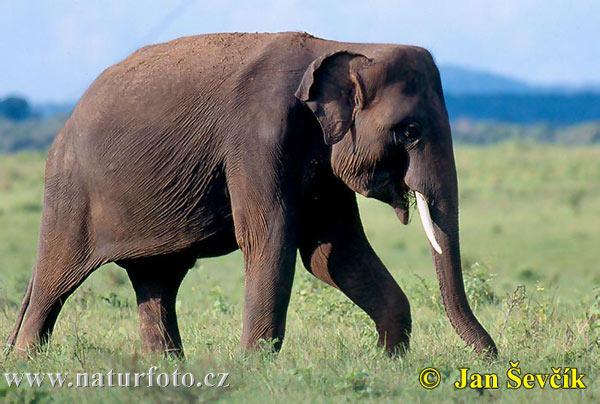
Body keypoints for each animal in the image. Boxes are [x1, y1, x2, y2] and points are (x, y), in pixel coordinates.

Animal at [5, 33, 496, 358]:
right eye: (409, 131)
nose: (491, 360)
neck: (344, 46)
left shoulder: (322, 157)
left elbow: (334, 252)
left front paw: (387, 363)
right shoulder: (257, 137)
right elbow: (272, 237)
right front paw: (255, 369)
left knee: (157, 281)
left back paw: (168, 370)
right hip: (71, 194)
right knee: (55, 280)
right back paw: (30, 364)